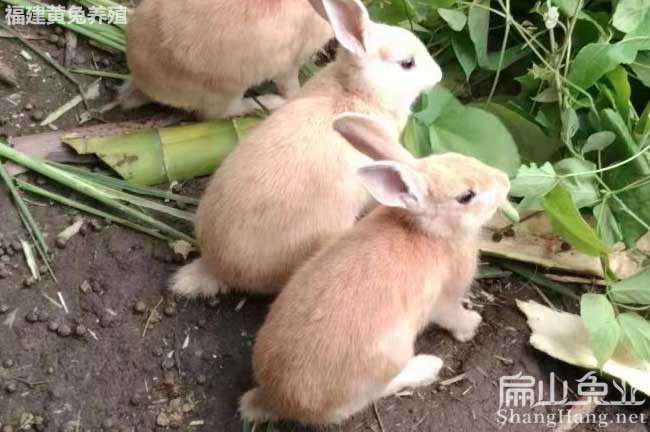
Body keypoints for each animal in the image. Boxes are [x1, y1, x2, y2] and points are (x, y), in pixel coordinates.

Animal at [121, 0, 332, 118]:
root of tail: (143, 81)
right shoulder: (288, 65)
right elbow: (291, 88)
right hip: (226, 92)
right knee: (216, 114)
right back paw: (269, 102)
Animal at [238, 112, 512, 426]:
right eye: (466, 196)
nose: (505, 181)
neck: (430, 232)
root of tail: (276, 398)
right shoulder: (444, 301)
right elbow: (454, 316)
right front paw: (472, 325)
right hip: (390, 356)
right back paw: (427, 367)